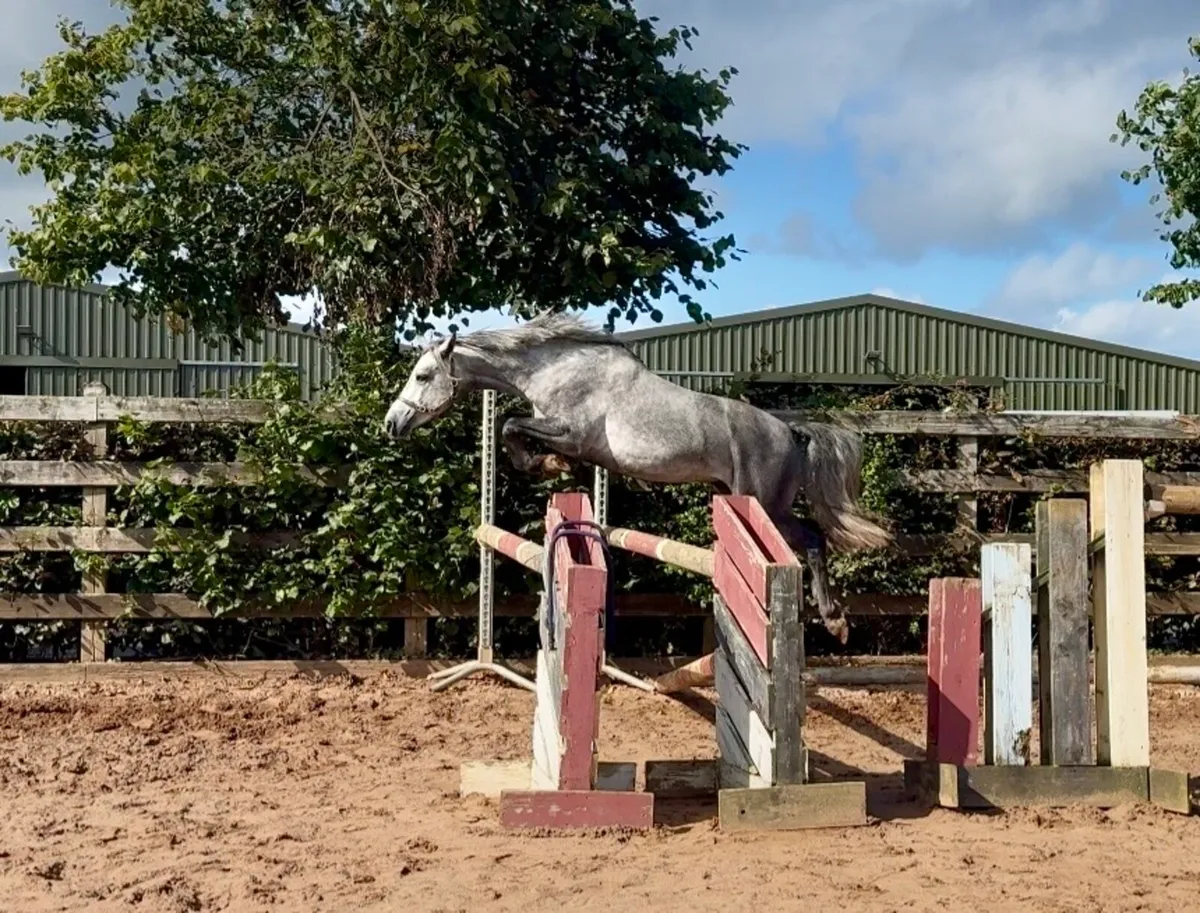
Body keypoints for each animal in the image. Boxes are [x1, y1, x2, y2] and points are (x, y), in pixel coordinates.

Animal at [383, 312, 892, 642]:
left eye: (423, 375)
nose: (392, 423)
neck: (555, 371)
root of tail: (790, 431)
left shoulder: (570, 433)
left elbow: (510, 425)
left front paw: (548, 466)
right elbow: (512, 427)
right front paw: (548, 467)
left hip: (761, 506)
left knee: (811, 540)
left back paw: (835, 620)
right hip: (750, 501)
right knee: (813, 539)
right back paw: (833, 618)